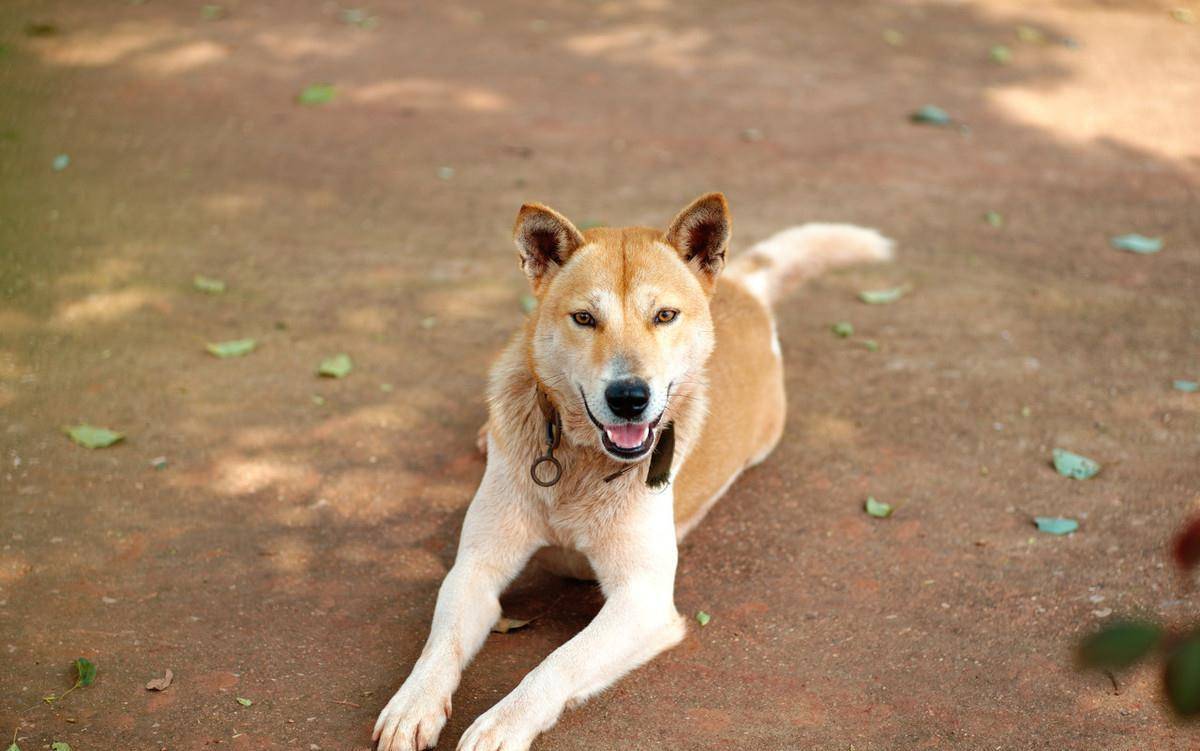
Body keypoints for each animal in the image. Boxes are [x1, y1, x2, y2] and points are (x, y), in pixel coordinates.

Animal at [374, 194, 892, 748]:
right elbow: (441, 643)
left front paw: (501, 724)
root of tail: (743, 287)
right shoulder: (475, 568)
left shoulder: (642, 601)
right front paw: (412, 704)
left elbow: (557, 663)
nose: (628, 398)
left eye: (665, 315)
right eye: (584, 318)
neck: (581, 461)